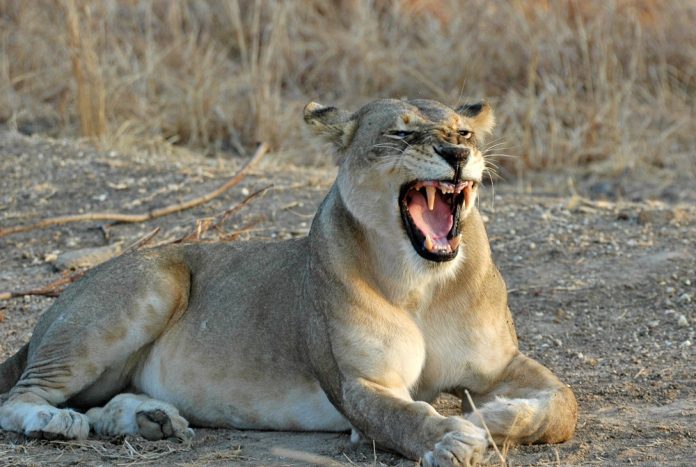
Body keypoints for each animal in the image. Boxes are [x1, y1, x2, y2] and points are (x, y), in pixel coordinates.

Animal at [0, 98, 577, 466]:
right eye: (401, 132)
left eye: (464, 133)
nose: (458, 155)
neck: (422, 283)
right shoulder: (358, 382)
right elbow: (400, 417)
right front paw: (452, 439)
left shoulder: (500, 363)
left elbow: (562, 406)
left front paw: (493, 418)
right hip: (152, 285)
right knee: (21, 396)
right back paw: (55, 422)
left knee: (95, 404)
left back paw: (150, 420)